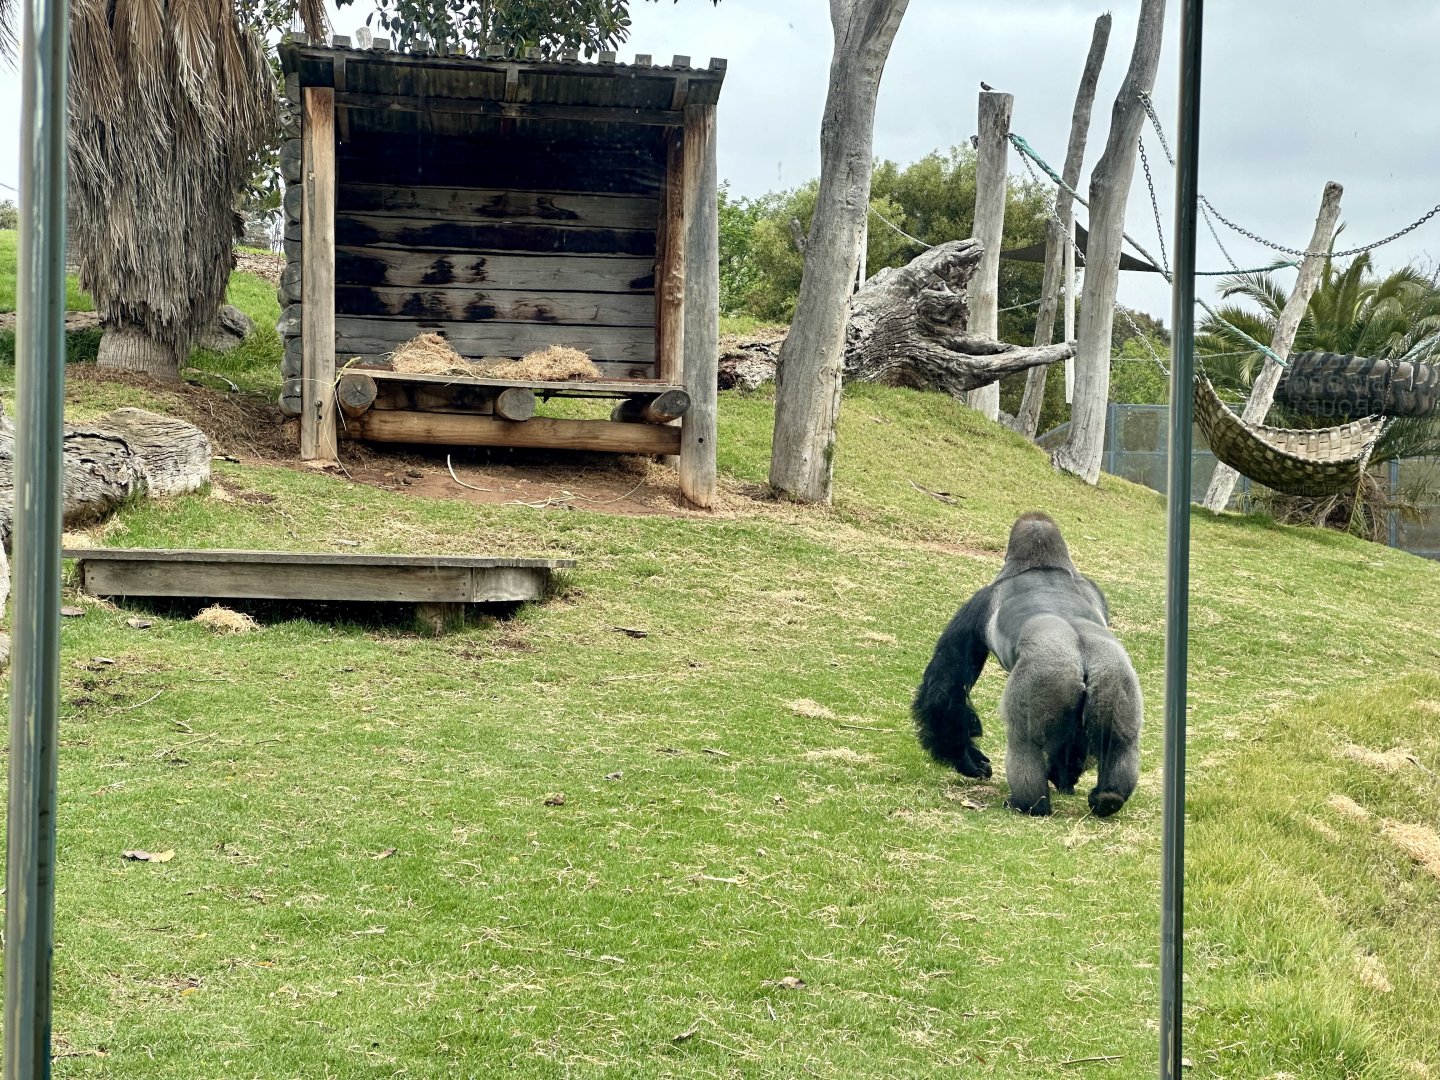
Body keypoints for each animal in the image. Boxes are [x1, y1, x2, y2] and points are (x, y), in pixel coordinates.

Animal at [911, 511, 1142, 817]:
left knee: (1024, 742)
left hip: (1046, 677)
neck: (1044, 567)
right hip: (1115, 676)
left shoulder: (979, 602)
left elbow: (946, 687)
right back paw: (1109, 797)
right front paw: (1066, 773)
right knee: (1120, 742)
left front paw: (966, 758)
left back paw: (1028, 804)